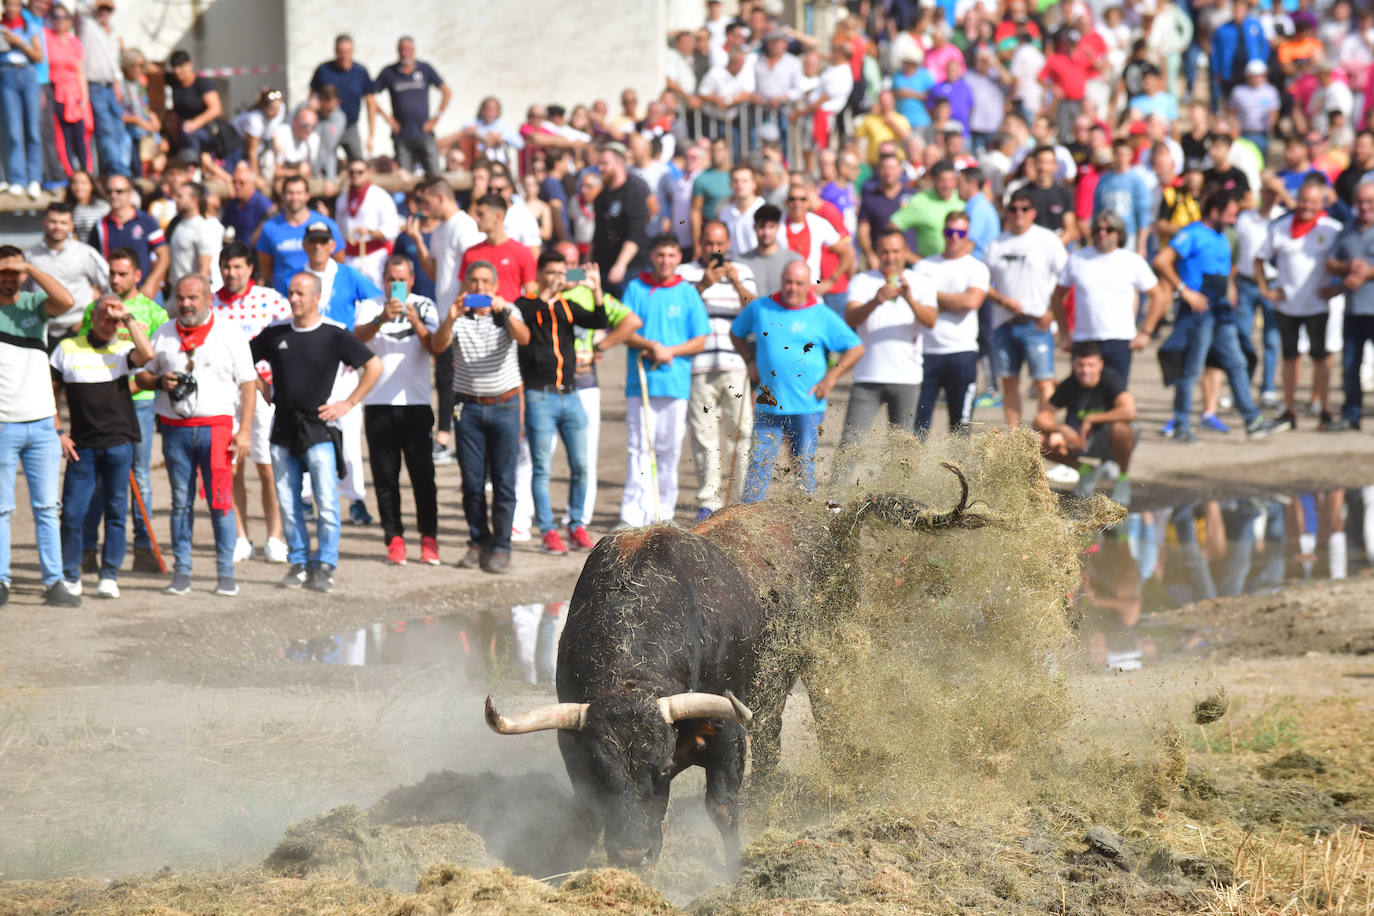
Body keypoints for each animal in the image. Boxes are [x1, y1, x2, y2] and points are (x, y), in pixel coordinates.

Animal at [489, 466, 994, 867]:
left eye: (661, 768)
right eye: (599, 773)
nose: (633, 853)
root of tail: (827, 518)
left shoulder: (725, 728)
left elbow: (723, 807)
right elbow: (588, 816)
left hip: (830, 651)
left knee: (833, 718)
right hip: (772, 686)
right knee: (771, 741)